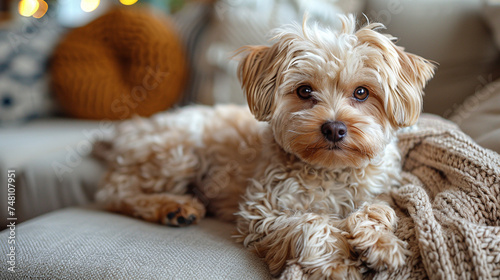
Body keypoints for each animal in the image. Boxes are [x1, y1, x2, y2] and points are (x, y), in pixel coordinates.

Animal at [94, 14, 434, 278]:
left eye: (362, 92)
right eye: (304, 90)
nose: (334, 128)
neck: (330, 171)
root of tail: (131, 129)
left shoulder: (382, 191)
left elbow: (376, 209)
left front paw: (382, 245)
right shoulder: (262, 213)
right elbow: (311, 223)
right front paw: (339, 263)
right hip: (178, 153)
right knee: (113, 193)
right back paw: (173, 207)